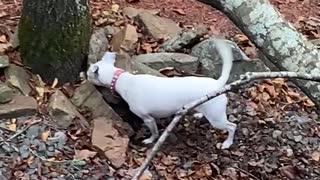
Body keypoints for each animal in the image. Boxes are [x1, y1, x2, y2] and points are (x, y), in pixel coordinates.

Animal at [87, 38, 238, 148]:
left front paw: (150, 140)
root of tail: (218, 84)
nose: (83, 75)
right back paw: (199, 114)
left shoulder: (148, 118)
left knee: (232, 127)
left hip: (217, 119)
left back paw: (227, 143)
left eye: (88, 74)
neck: (122, 80)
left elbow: (154, 132)